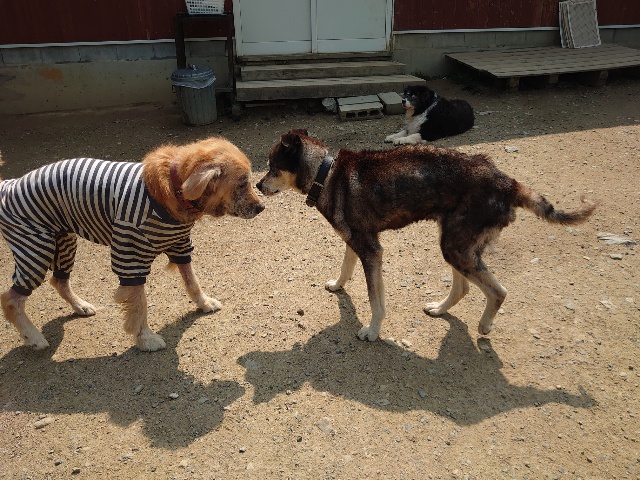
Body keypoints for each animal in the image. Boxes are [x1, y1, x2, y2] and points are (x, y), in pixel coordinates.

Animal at [0, 137, 264, 351]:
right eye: (242, 183)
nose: (262, 207)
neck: (174, 189)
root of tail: (9, 185)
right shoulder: (130, 255)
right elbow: (139, 303)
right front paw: (145, 338)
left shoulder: (180, 244)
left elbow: (192, 281)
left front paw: (204, 302)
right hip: (36, 248)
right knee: (12, 300)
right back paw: (33, 337)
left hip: (63, 242)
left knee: (59, 281)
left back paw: (80, 306)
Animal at [257, 130, 596, 341]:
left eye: (273, 168)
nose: (258, 186)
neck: (326, 174)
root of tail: (510, 183)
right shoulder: (356, 240)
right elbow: (345, 267)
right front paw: (338, 285)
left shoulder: (372, 251)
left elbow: (376, 300)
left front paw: (372, 332)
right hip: (456, 244)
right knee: (463, 287)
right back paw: (439, 309)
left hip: (457, 246)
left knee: (498, 291)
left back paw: (485, 325)